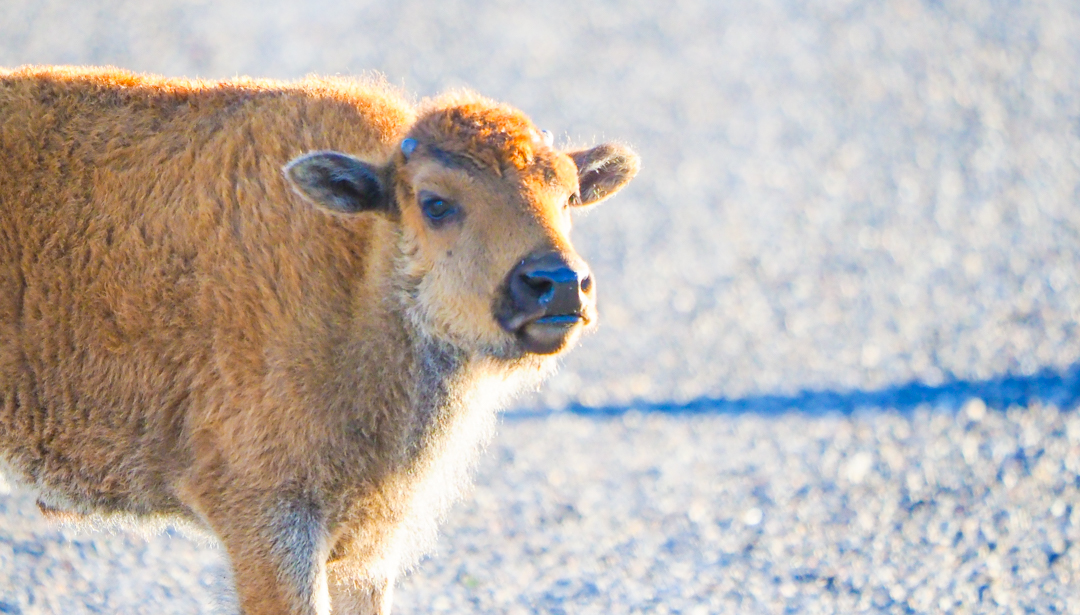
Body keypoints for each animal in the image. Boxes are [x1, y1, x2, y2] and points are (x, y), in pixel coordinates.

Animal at [0, 64, 635, 609]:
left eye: (568, 195)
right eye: (435, 203)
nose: (557, 285)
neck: (360, 275)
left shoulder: (366, 544)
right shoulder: (269, 520)